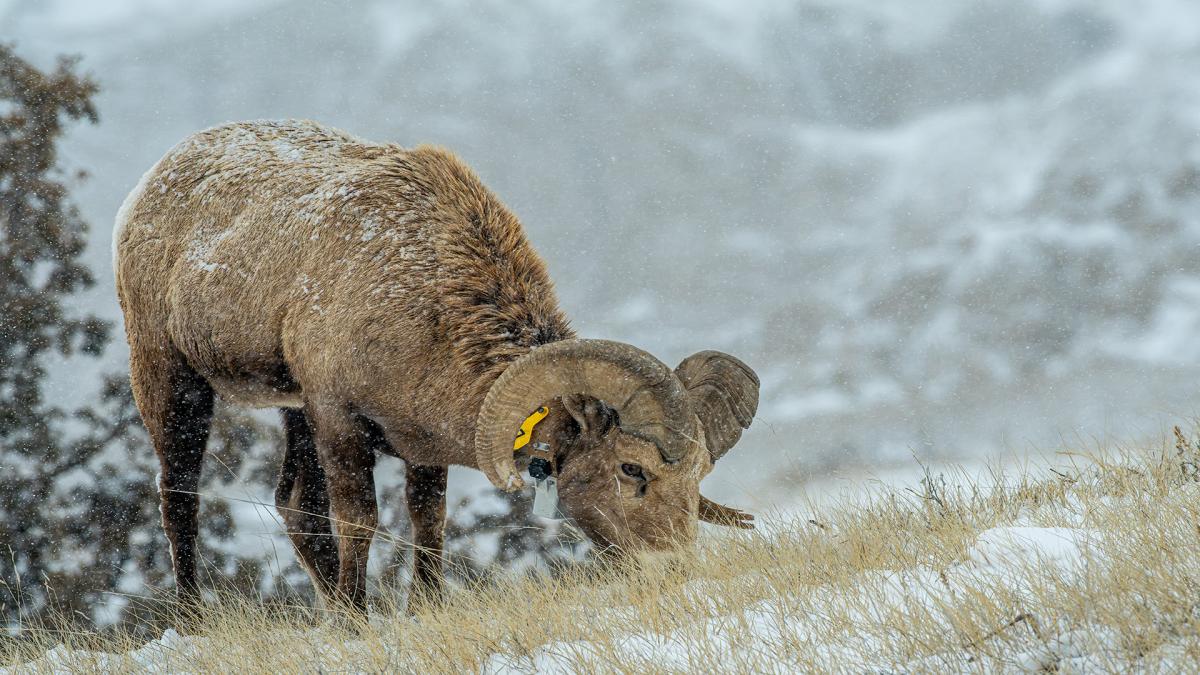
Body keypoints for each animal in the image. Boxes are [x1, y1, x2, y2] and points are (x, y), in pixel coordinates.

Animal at [114, 119, 758, 610]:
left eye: (698, 476)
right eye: (631, 470)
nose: (672, 568)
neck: (424, 296)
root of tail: (149, 186)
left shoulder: (416, 447)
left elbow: (427, 519)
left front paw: (421, 606)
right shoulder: (339, 422)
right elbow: (360, 519)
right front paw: (362, 619)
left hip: (290, 413)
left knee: (295, 508)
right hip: (172, 382)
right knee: (179, 496)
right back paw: (197, 617)